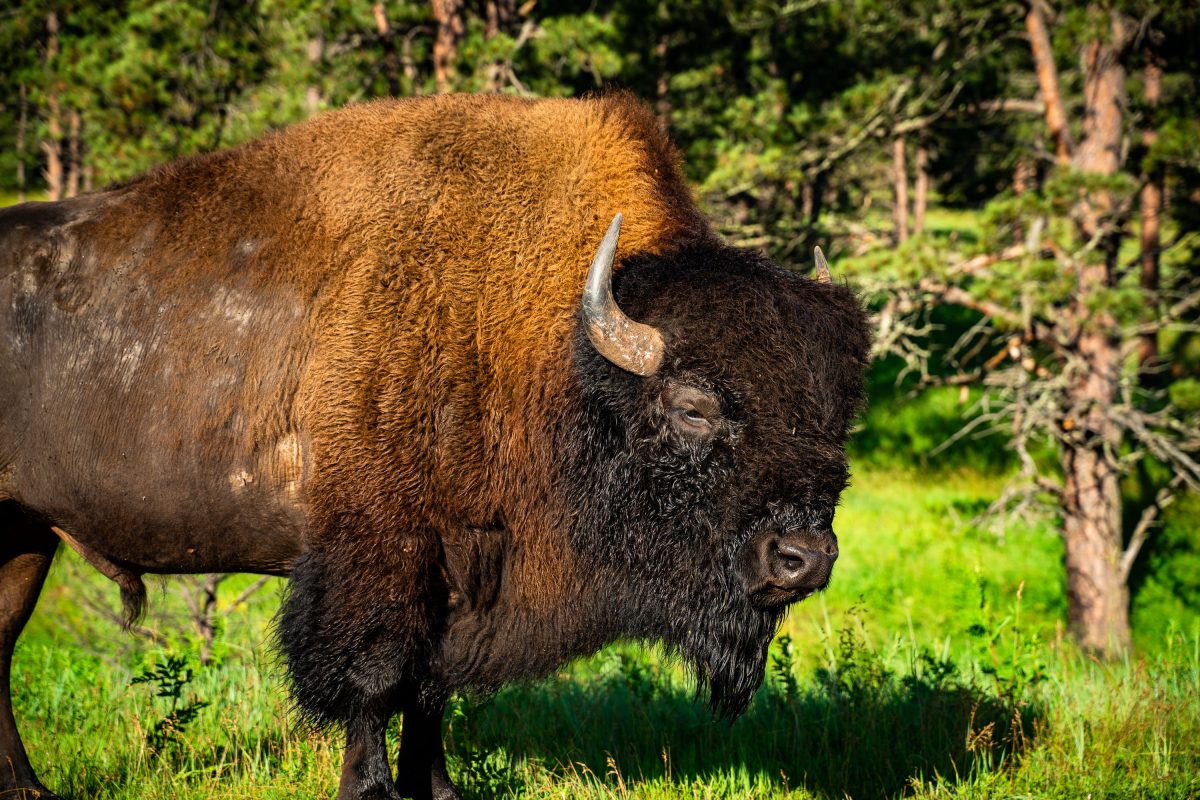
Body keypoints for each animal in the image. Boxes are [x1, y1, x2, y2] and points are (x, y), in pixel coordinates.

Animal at [0, 94, 870, 800]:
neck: (549, 351)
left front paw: (440, 789)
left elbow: (429, 689)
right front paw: (370, 789)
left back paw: (28, 786)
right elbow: (376, 677)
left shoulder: (462, 569)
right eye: (692, 407)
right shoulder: (381, 555)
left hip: (22, 538)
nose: (803, 558)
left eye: (836, 413)